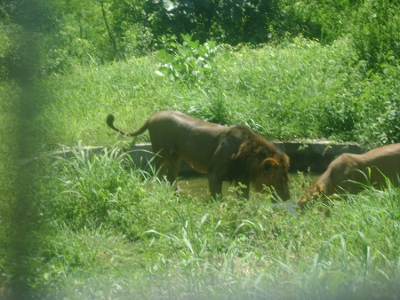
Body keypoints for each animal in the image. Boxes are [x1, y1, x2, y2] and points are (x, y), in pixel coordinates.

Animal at [105, 110, 290, 199]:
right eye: (280, 180)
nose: (288, 198)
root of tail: (152, 116)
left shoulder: (241, 178)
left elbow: (243, 199)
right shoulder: (214, 175)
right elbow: (217, 198)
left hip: (175, 157)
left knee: (172, 177)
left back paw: (179, 193)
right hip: (161, 154)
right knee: (159, 175)